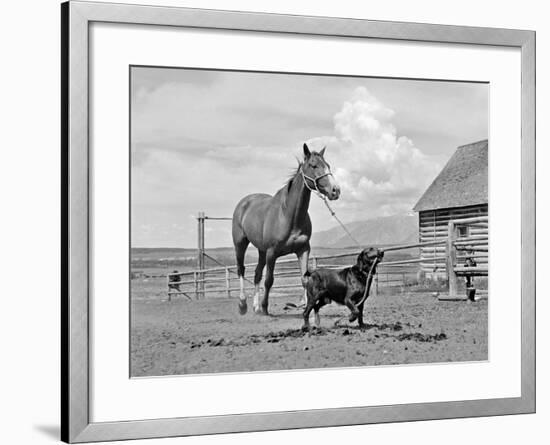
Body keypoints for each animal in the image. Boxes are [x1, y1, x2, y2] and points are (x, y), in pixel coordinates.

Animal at [232, 144, 340, 314]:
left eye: (328, 165)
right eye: (313, 165)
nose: (335, 190)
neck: (288, 215)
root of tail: (244, 203)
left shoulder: (303, 249)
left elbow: (304, 279)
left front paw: (307, 307)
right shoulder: (272, 253)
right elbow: (269, 280)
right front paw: (265, 307)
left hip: (261, 251)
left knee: (256, 274)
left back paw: (255, 307)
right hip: (240, 244)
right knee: (241, 270)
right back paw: (243, 304)